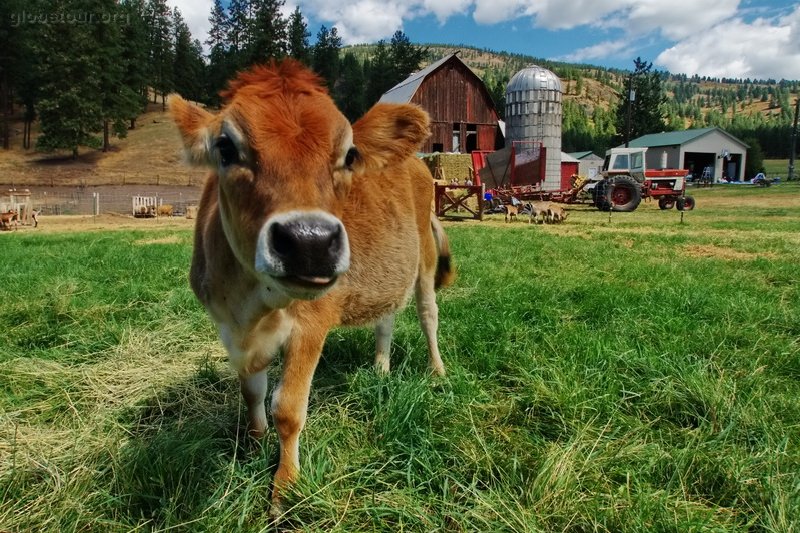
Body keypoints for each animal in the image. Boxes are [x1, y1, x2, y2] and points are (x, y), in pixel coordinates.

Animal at [167, 59, 456, 508]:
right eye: (226, 147)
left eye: (349, 154)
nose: (310, 242)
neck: (251, 304)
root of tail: (419, 162)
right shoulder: (229, 327)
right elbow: (252, 392)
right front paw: (253, 445)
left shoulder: (312, 321)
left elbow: (287, 408)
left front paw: (285, 486)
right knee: (386, 318)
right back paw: (381, 368)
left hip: (424, 256)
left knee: (428, 314)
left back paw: (437, 370)